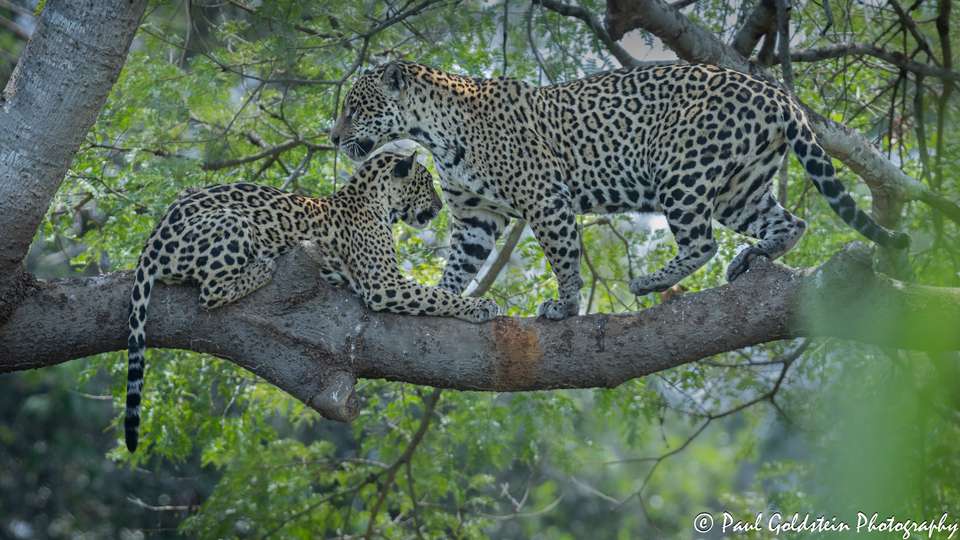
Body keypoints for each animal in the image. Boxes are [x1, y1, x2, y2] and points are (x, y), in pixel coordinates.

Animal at [123, 151, 500, 452]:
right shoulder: (383, 283)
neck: (370, 197)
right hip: (233, 221)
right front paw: (481, 307)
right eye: (425, 183)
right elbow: (437, 295)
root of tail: (151, 242)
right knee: (211, 291)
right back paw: (262, 267)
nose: (438, 208)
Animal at [330, 61, 909, 320]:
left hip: (682, 168)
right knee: (790, 221)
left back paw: (651, 282)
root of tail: (777, 92)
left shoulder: (546, 197)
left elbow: (564, 258)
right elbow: (457, 267)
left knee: (701, 241)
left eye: (355, 108)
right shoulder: (476, 218)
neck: (434, 131)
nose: (333, 137)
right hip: (739, 188)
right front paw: (445, 301)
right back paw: (753, 257)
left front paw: (564, 307)